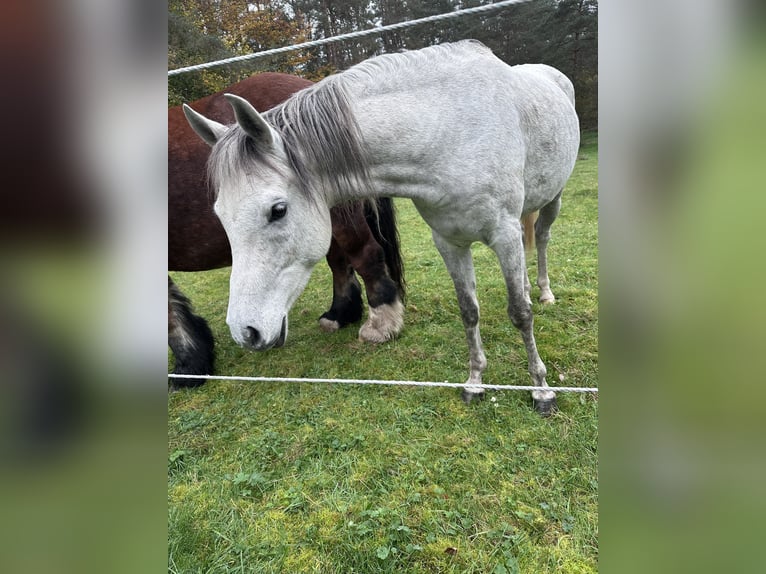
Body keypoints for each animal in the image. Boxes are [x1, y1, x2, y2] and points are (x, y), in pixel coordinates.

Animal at [170, 71, 408, 388]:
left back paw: (381, 322)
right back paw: (340, 314)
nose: (246, 332)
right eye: (219, 214)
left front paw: (189, 367)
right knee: (339, 261)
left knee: (365, 254)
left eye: (278, 210)